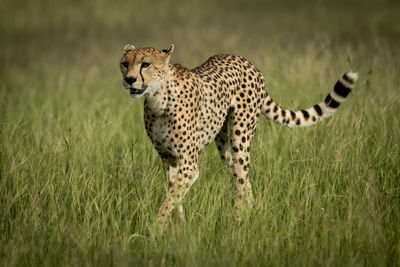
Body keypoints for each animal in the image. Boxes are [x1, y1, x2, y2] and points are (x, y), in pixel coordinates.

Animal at [119, 44, 360, 230]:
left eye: (145, 64)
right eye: (124, 64)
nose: (129, 80)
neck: (158, 97)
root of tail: (244, 60)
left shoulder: (189, 164)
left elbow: (170, 199)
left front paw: (155, 231)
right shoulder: (168, 159)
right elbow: (174, 195)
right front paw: (179, 228)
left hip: (240, 138)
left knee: (242, 182)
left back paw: (237, 225)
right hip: (224, 145)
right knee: (242, 180)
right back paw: (251, 214)